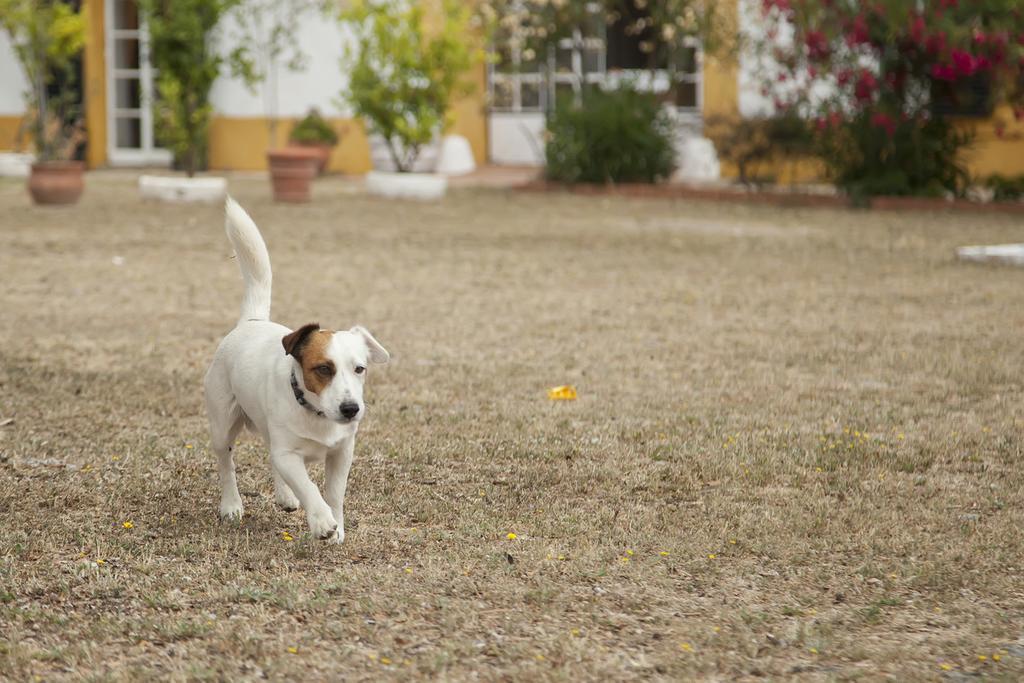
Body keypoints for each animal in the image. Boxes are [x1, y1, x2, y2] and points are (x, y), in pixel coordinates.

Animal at [202, 198, 387, 544]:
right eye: (323, 368)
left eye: (360, 368)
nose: (351, 409)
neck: (316, 413)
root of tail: (252, 320)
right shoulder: (288, 453)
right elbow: (309, 486)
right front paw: (322, 521)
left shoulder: (342, 451)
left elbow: (334, 492)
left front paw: (336, 525)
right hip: (222, 424)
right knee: (226, 462)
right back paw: (231, 504)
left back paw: (285, 496)